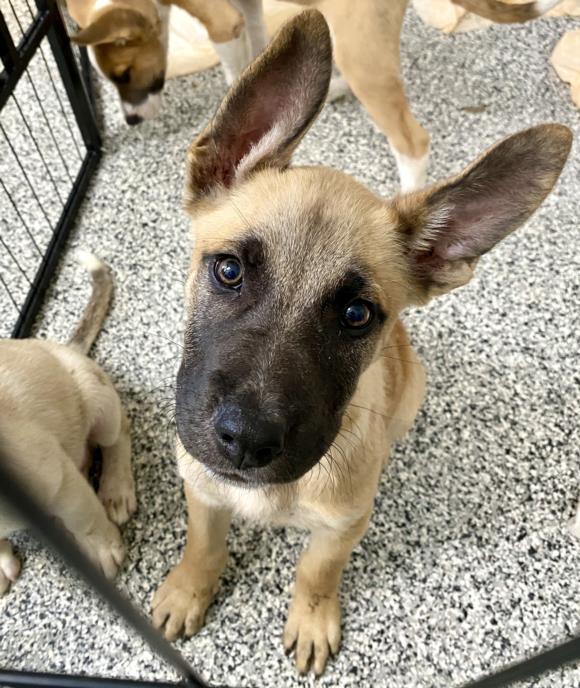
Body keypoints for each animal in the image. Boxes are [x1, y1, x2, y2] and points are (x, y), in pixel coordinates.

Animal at [0, 250, 137, 592]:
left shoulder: (58, 480)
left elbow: (85, 518)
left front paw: (103, 551)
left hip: (96, 396)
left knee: (118, 435)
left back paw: (116, 489)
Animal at [152, 8, 572, 676]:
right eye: (229, 271)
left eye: (356, 315)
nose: (246, 440)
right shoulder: (202, 488)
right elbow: (203, 545)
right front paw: (188, 590)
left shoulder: (344, 525)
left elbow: (315, 571)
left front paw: (311, 618)